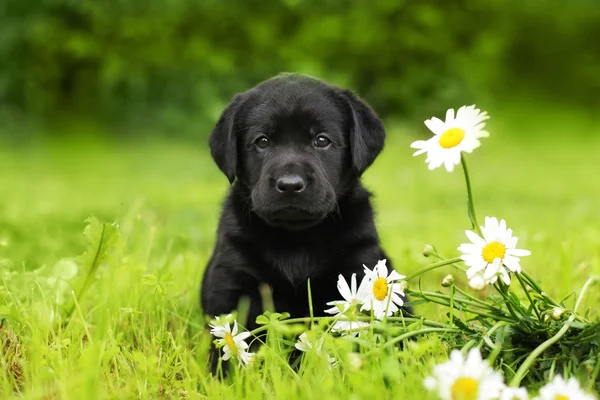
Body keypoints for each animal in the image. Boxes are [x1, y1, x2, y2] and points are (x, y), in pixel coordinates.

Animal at [202, 72, 408, 372]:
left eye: (321, 140)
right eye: (262, 141)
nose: (290, 184)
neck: (297, 238)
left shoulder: (358, 265)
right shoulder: (233, 280)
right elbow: (229, 335)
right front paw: (224, 373)